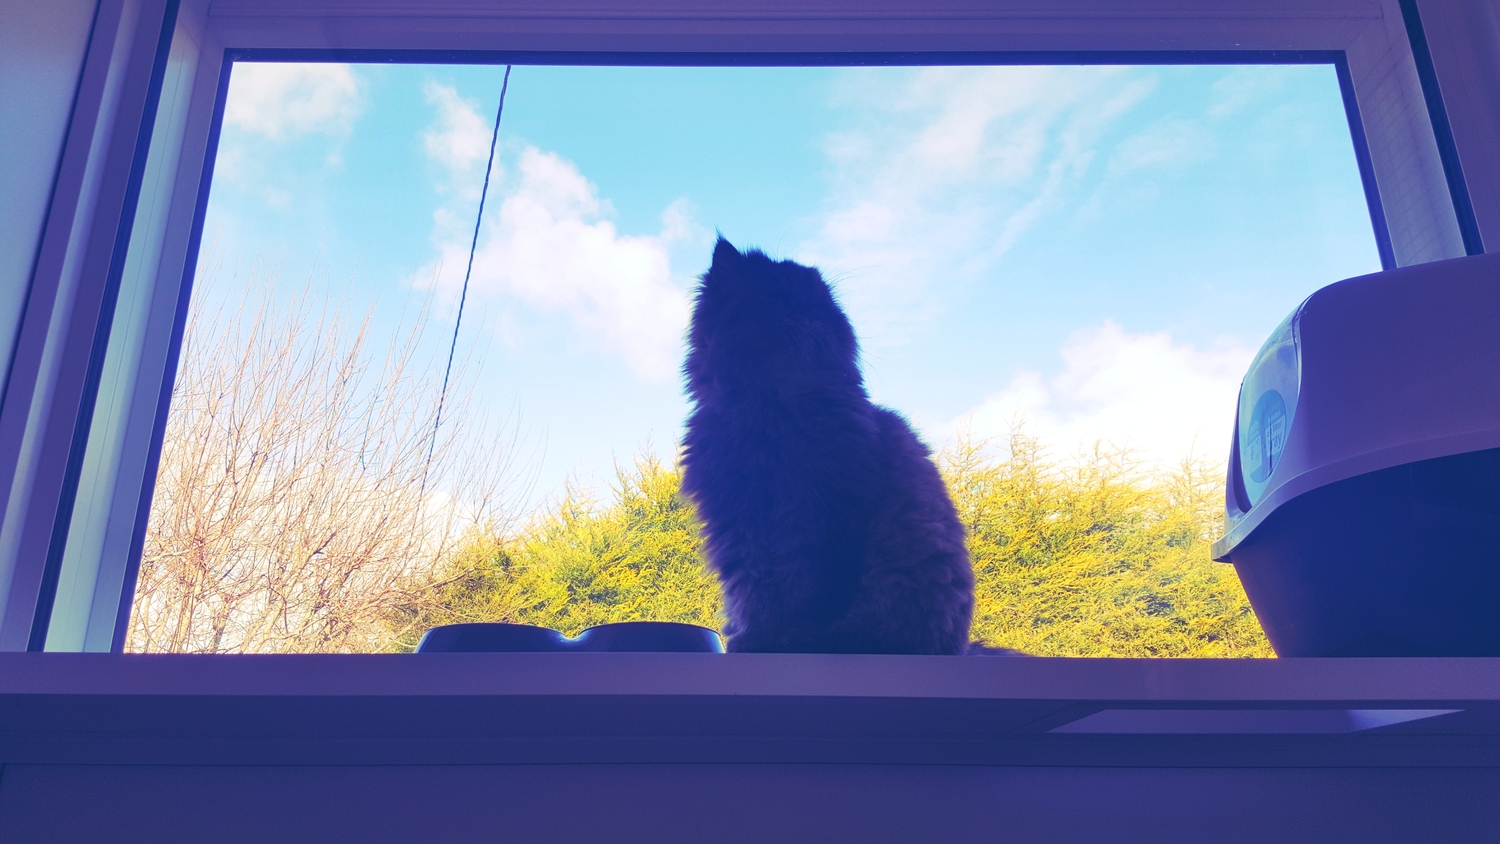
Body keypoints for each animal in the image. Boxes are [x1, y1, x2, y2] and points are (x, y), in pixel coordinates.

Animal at [682, 238, 1016, 655]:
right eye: (778, 296)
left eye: (823, 306)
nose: (808, 314)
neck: (774, 415)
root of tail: (962, 647)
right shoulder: (742, 527)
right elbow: (757, 592)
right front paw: (759, 639)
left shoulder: (828, 516)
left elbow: (811, 594)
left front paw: (797, 640)